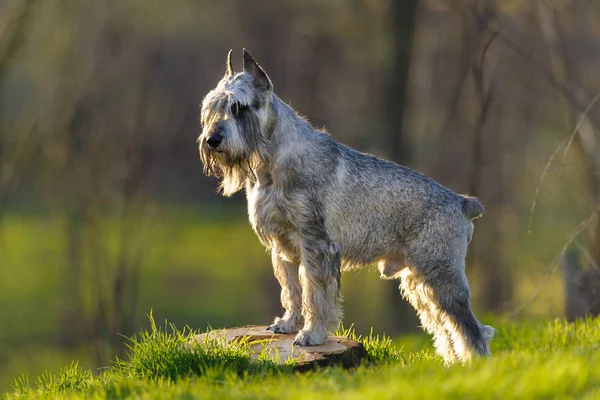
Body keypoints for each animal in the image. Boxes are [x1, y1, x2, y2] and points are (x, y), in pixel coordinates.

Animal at [199, 49, 494, 362]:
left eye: (239, 107)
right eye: (211, 108)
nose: (212, 139)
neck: (272, 163)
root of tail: (462, 202)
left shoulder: (316, 244)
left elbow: (315, 293)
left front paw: (312, 335)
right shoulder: (283, 247)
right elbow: (291, 290)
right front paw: (288, 324)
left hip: (442, 274)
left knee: (473, 329)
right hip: (420, 282)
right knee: (446, 327)